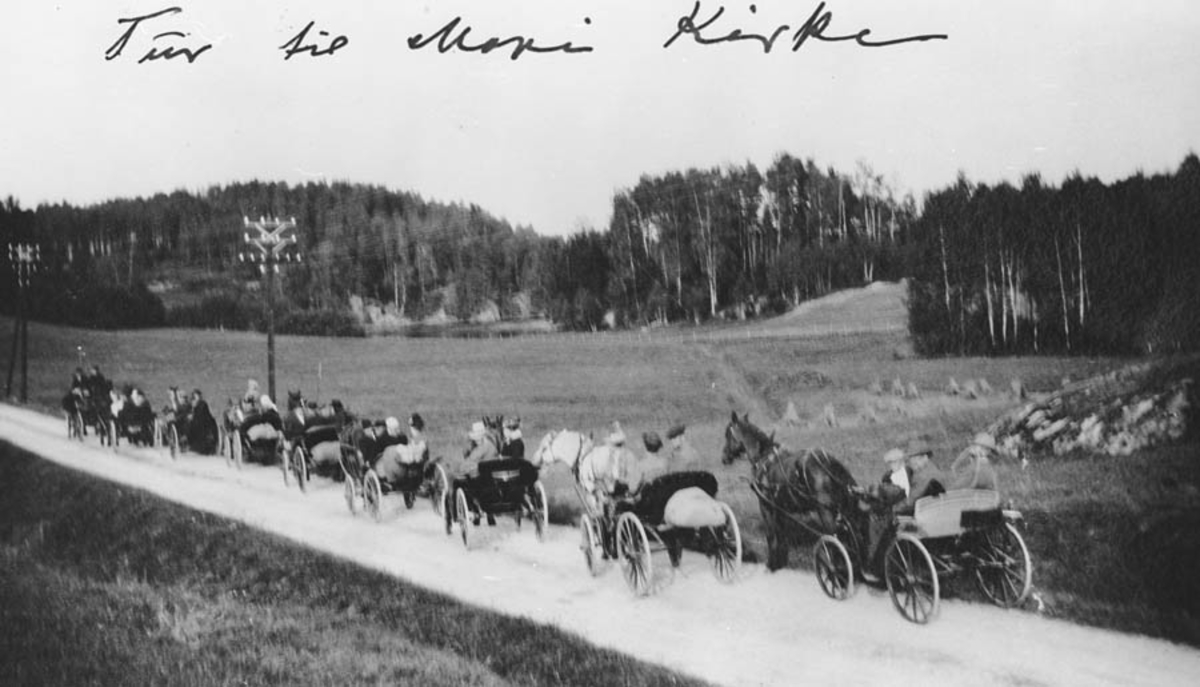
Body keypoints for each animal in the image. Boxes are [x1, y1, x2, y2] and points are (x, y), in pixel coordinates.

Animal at [715, 410, 859, 571]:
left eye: (728, 434)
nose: (724, 457)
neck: (764, 458)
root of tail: (831, 464)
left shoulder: (766, 506)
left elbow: (771, 536)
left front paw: (771, 565)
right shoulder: (781, 509)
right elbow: (782, 538)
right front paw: (780, 563)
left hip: (827, 514)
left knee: (838, 543)